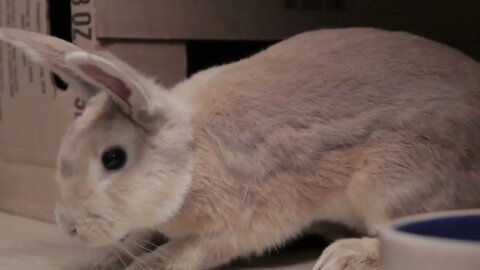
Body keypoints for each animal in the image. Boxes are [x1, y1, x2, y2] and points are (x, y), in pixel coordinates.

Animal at [0, 28, 480, 270]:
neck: (193, 159)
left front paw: (143, 267)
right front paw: (107, 260)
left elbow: (180, 255)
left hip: (389, 187)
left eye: (113, 158)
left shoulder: (236, 225)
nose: (68, 227)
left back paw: (344, 256)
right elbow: (142, 238)